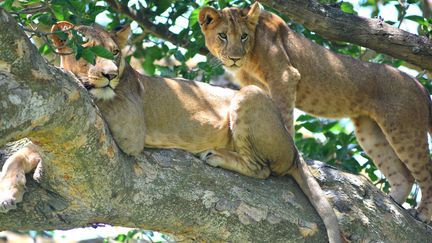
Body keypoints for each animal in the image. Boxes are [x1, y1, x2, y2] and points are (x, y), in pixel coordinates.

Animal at [0, 21, 344, 242]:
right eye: (89, 52)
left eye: (115, 53)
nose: (110, 74)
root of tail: (295, 151)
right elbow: (22, 153)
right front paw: (10, 192)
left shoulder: (129, 126)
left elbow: (90, 100)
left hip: (249, 95)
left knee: (263, 170)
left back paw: (216, 156)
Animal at [200, 1, 432, 223]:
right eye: (222, 35)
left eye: (244, 36)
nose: (234, 58)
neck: (250, 55)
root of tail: (421, 87)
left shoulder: (285, 76)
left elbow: (284, 118)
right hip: (370, 132)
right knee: (404, 175)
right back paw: (394, 203)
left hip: (404, 129)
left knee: (425, 171)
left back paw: (421, 214)